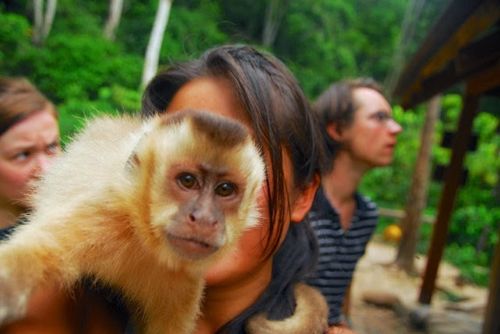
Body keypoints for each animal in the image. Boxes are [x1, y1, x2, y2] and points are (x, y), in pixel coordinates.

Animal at [0, 109, 266, 334]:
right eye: (188, 181)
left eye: (225, 189)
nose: (204, 218)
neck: (146, 240)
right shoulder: (105, 213)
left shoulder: (185, 280)